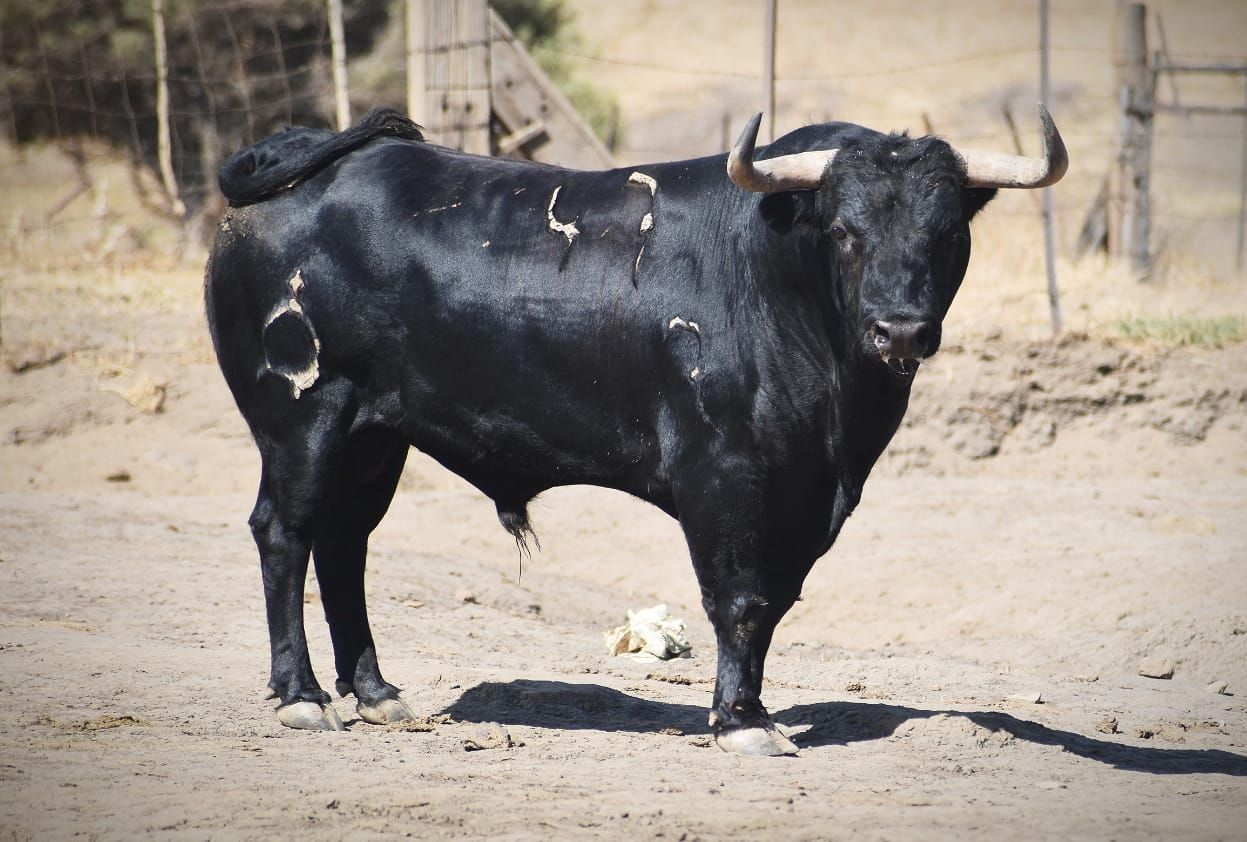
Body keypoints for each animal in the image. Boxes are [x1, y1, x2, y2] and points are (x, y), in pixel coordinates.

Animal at [209, 107, 1067, 758]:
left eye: (947, 232)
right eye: (846, 230)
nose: (900, 329)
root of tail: (294, 157)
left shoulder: (801, 495)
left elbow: (772, 604)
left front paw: (750, 710)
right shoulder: (722, 475)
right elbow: (740, 600)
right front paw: (740, 723)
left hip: (374, 436)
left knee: (343, 542)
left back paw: (377, 692)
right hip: (301, 417)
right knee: (286, 533)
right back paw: (301, 696)